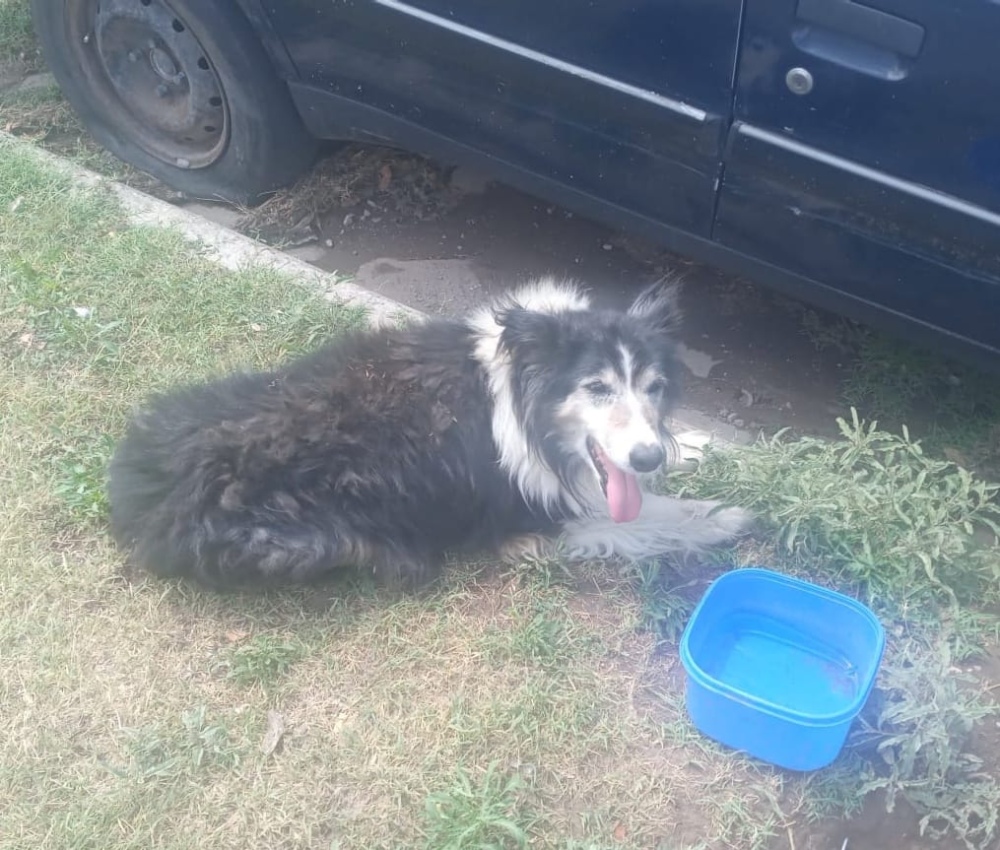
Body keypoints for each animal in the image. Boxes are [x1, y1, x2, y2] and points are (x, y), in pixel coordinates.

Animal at [109, 278, 752, 588]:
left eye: (654, 386)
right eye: (596, 387)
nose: (645, 458)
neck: (522, 390)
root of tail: (143, 486)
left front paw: (699, 451)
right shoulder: (535, 519)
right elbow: (645, 519)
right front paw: (723, 516)